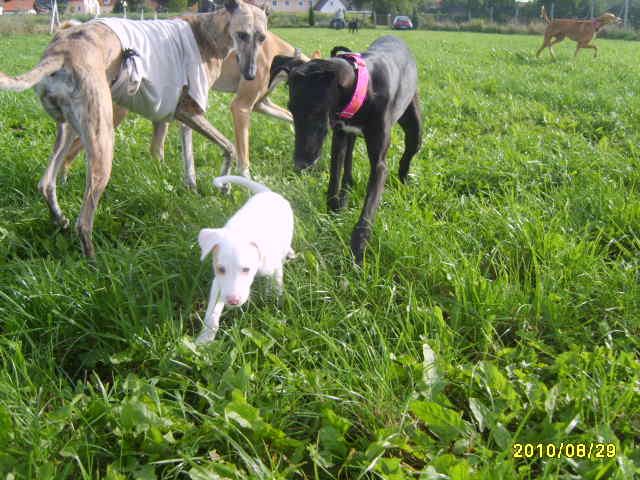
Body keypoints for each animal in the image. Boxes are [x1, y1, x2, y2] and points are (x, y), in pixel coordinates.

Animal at [0, 0, 267, 258]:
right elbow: (230, 146)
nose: (251, 75)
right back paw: (94, 261)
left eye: (262, 37)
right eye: (242, 34)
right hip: (103, 138)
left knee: (46, 183)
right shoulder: (190, 111)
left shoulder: (181, 115)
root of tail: (61, 51)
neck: (207, 32)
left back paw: (60, 219)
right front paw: (225, 185)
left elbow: (187, 156)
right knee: (83, 221)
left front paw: (196, 185)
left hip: (68, 128)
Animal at [197, 175, 294, 343]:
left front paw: (276, 297)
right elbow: (212, 313)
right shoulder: (219, 284)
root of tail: (267, 192)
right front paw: (204, 339)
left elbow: (277, 280)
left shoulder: (273, 265)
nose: (233, 301)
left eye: (246, 269)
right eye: (221, 269)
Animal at [270, 36, 421, 264]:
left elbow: (369, 207)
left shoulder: (379, 165)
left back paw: (403, 182)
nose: (300, 164)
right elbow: (335, 175)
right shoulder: (339, 136)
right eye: (291, 109)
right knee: (348, 163)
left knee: (408, 154)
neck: (362, 89)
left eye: (316, 111)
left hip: (414, 126)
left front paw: (358, 251)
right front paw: (333, 211)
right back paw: (346, 191)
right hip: (349, 136)